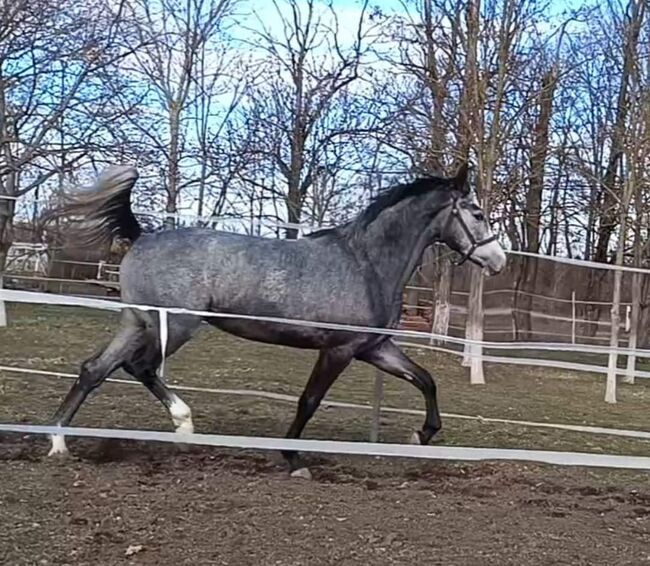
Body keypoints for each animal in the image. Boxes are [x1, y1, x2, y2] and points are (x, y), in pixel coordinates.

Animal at [44, 165, 506, 474]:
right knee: (139, 367)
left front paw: (421, 435)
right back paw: (184, 425)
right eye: (477, 212)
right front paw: (293, 458)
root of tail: (142, 237)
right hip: (175, 325)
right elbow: (309, 400)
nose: (497, 260)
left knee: (94, 369)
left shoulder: (374, 348)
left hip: (136, 322)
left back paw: (59, 444)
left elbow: (426, 380)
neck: (367, 263)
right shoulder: (338, 350)